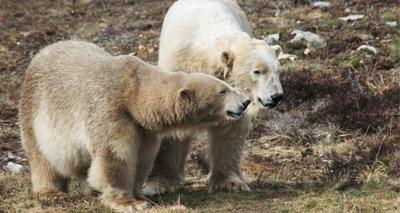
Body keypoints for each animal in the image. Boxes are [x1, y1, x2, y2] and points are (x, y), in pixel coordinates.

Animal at [20, 40, 250, 212]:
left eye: (227, 85)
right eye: (222, 91)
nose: (245, 102)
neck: (133, 92)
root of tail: (42, 52)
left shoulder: (143, 127)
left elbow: (142, 157)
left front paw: (139, 194)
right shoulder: (110, 109)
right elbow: (115, 154)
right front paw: (129, 203)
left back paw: (91, 191)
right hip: (34, 109)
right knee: (41, 157)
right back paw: (51, 193)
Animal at [146, 0, 284, 195]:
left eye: (278, 70)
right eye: (257, 71)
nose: (277, 96)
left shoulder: (231, 98)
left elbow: (230, 130)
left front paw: (229, 183)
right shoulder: (178, 70)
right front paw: (161, 185)